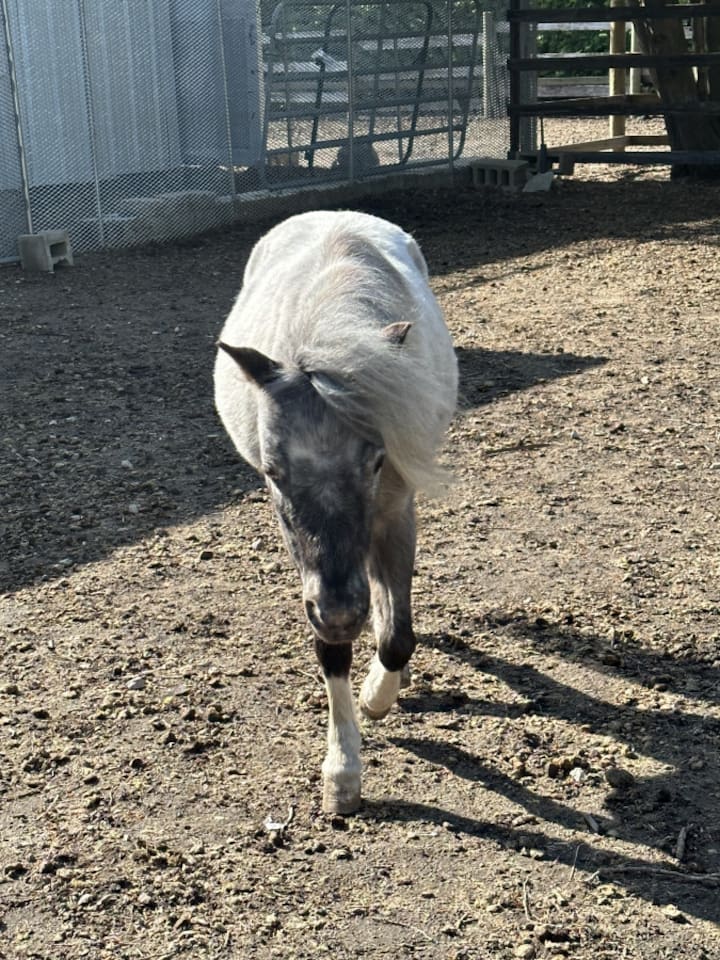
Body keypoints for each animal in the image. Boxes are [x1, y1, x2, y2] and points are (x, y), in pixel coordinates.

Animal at [214, 210, 457, 814]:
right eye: (273, 470)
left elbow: (397, 636)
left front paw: (376, 697)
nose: (344, 613)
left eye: (376, 460)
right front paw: (343, 770)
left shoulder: (395, 511)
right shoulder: (310, 570)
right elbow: (331, 653)